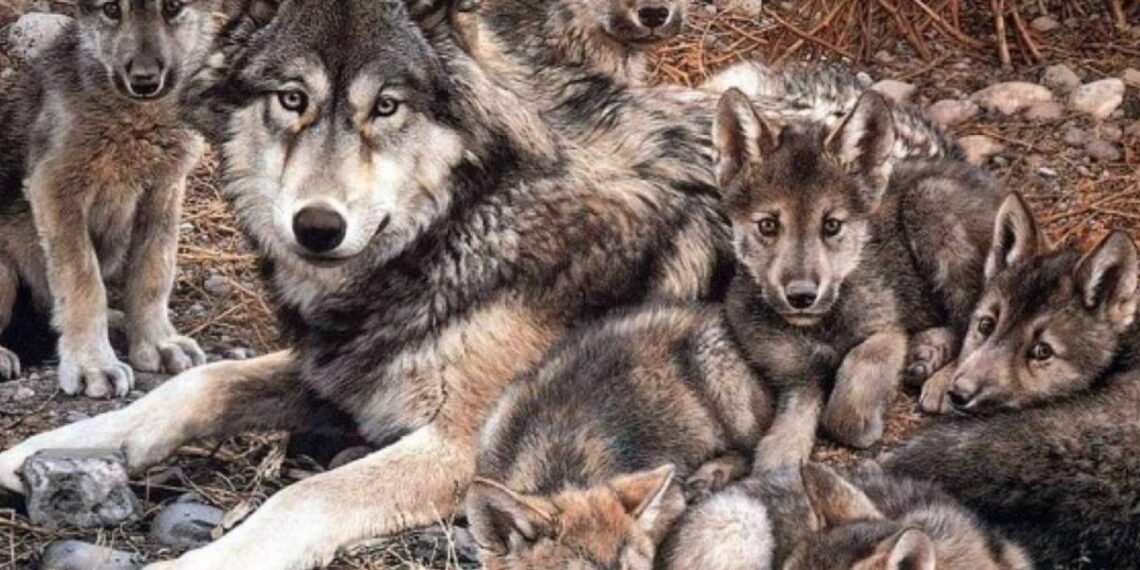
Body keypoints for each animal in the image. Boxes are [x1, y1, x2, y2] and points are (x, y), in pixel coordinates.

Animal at [0, 0, 217, 397]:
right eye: (112, 10)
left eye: (173, 7)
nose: (144, 82)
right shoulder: (55, 188)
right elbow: (83, 284)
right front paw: (92, 364)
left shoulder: (163, 189)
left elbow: (153, 273)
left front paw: (157, 342)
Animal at [713, 88, 1005, 466]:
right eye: (768, 225)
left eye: (831, 225)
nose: (802, 296)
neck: (820, 325)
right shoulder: (797, 376)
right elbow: (784, 439)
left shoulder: (885, 333)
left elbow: (847, 403)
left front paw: (865, 425)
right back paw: (926, 352)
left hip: (931, 202)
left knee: (973, 314)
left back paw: (940, 378)